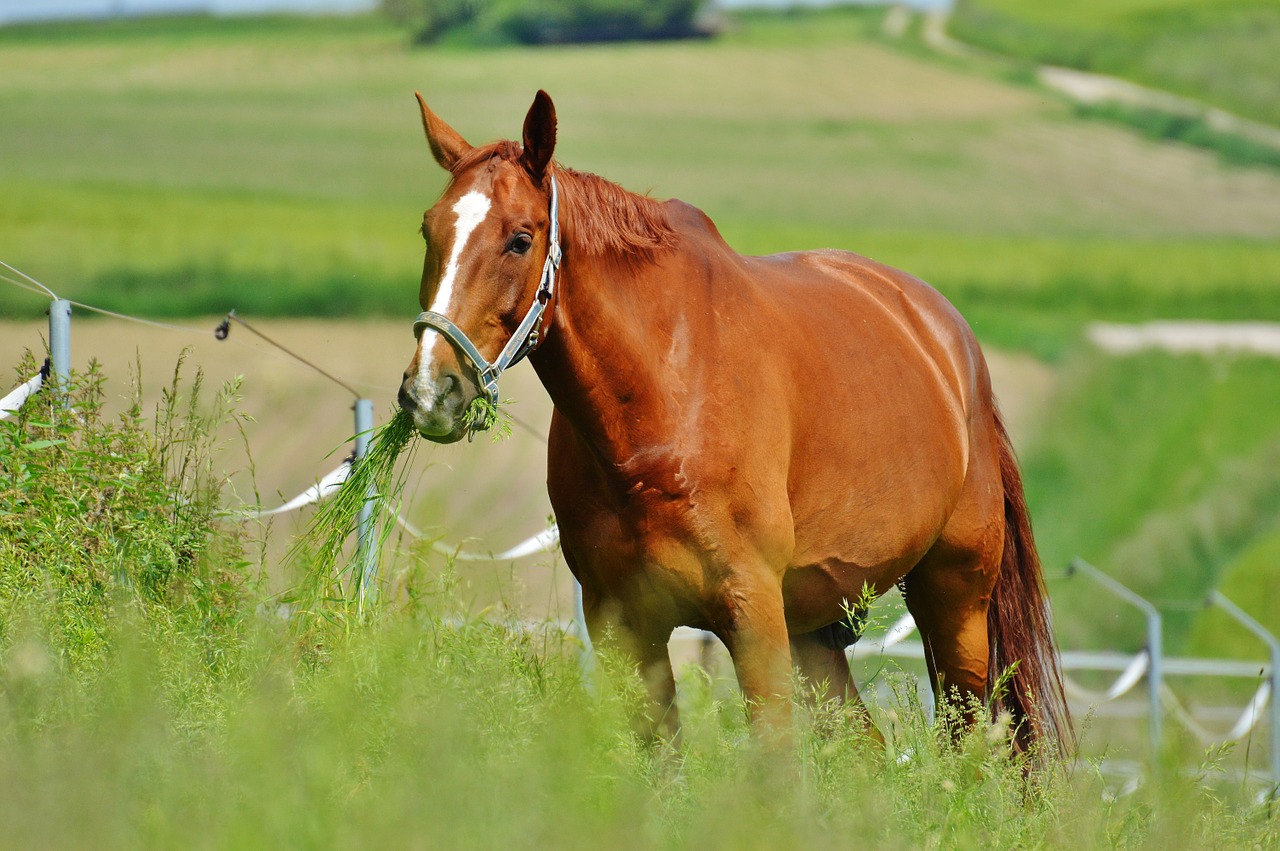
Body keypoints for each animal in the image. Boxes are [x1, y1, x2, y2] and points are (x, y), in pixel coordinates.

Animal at [396, 91, 1070, 752]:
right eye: (428, 230)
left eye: (520, 238)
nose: (429, 390)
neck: (659, 406)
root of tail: (949, 338)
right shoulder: (624, 628)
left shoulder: (752, 615)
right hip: (818, 629)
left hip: (955, 603)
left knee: (966, 746)